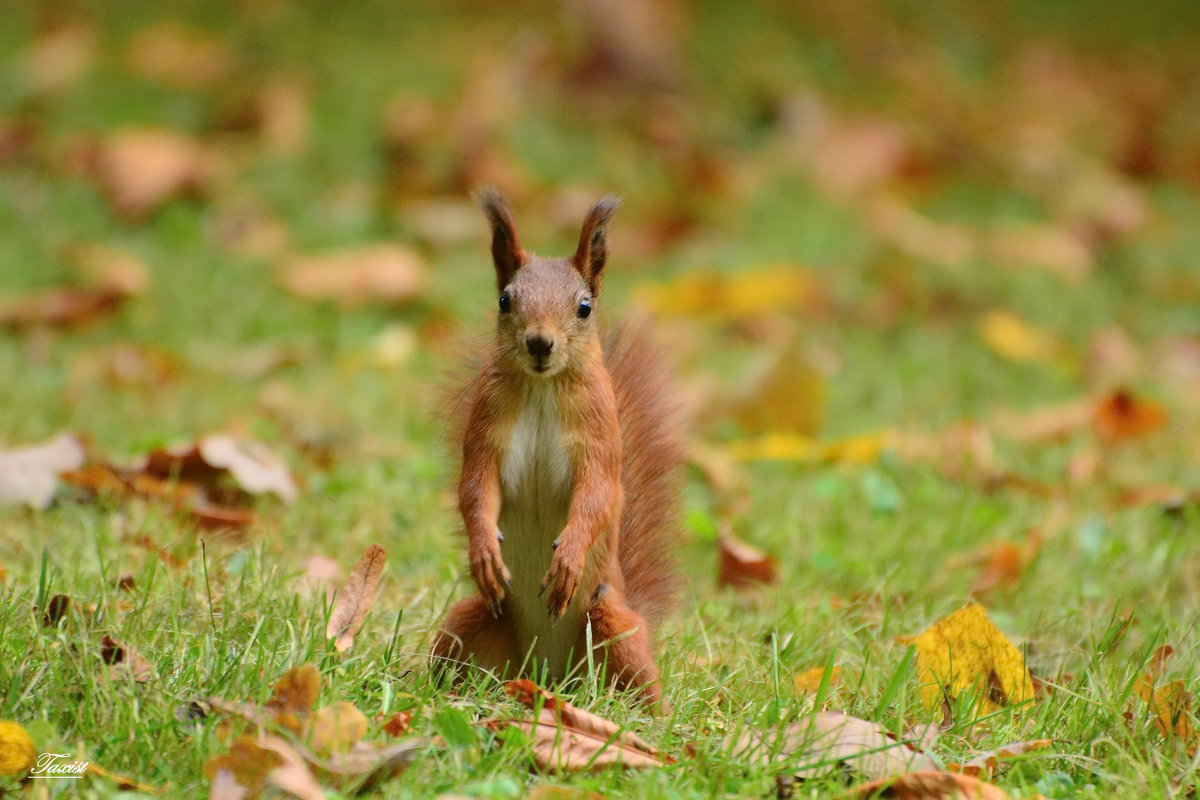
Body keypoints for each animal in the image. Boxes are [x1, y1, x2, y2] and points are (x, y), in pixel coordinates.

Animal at [432, 190, 681, 705]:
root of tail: (549, 673)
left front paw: (567, 557)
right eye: (504, 300)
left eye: (584, 307)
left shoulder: (600, 435)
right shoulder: (485, 430)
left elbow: (597, 495)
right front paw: (483, 552)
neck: (543, 388)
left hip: (613, 627)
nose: (539, 343)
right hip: (469, 622)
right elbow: (474, 489)